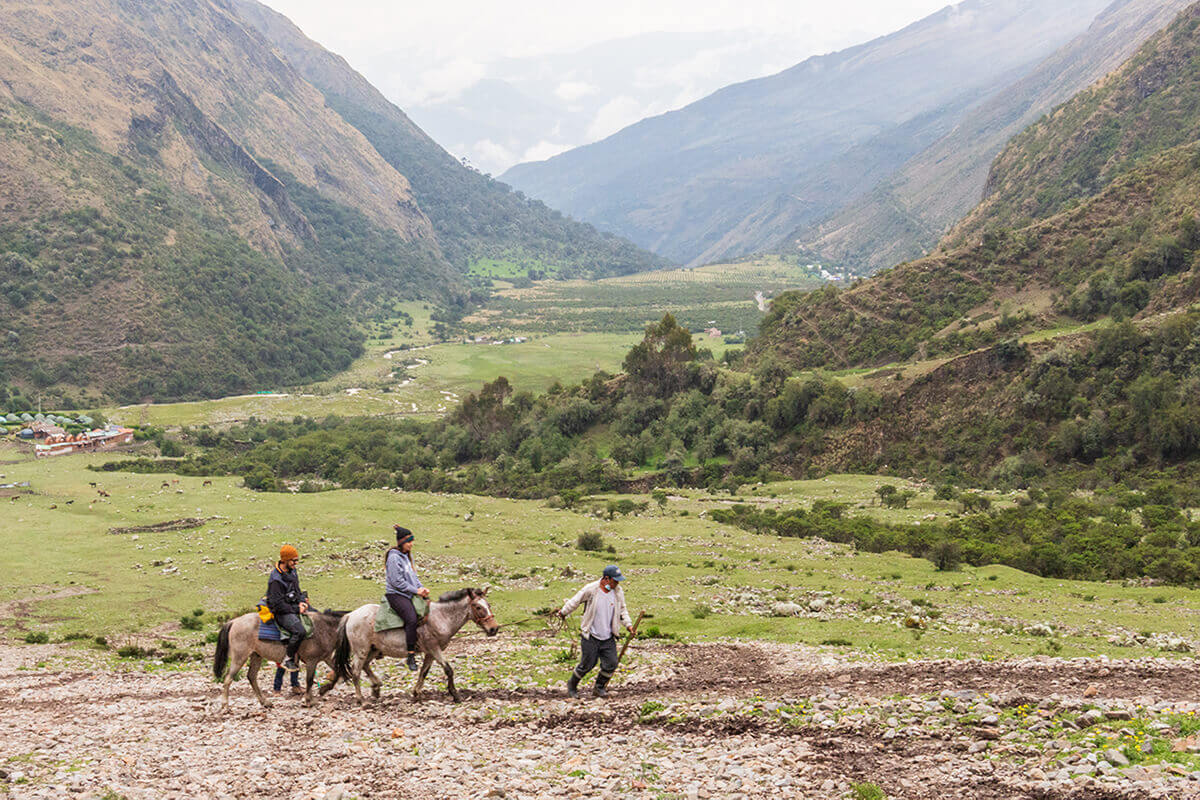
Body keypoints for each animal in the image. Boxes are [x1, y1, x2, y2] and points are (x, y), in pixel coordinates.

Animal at [212, 609, 348, 714]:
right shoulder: (311, 661)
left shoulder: (327, 658)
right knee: (228, 679)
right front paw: (308, 700)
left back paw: (265, 702)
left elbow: (338, 673)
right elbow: (309, 680)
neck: (324, 628)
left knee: (251, 676)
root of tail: (234, 621)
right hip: (240, 657)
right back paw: (225, 706)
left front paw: (323, 689)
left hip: (256, 656)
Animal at [333, 585, 496, 705]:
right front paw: (455, 695)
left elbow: (424, 672)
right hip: (361, 650)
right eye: (478, 607)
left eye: (488, 605)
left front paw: (416, 693)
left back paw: (376, 687)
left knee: (366, 666)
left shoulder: (430, 652)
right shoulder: (434, 648)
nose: (494, 629)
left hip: (372, 650)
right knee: (356, 672)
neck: (441, 617)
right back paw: (361, 699)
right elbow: (448, 670)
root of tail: (350, 615)